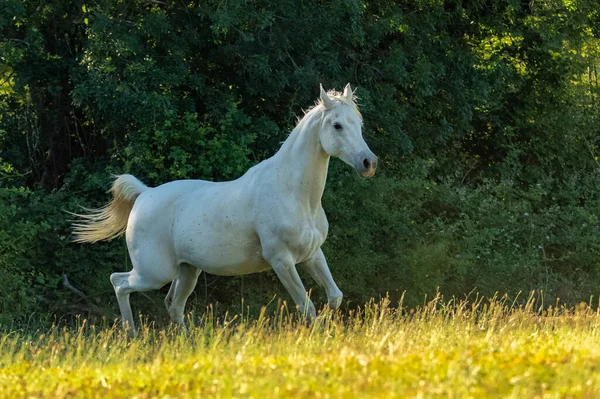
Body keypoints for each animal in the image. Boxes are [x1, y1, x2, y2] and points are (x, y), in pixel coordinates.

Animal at [72, 84, 378, 334]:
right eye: (337, 125)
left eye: (358, 123)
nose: (369, 163)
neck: (294, 192)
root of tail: (145, 194)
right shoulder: (281, 260)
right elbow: (306, 306)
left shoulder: (312, 254)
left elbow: (334, 296)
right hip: (154, 272)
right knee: (119, 282)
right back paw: (131, 335)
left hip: (187, 271)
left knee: (173, 304)